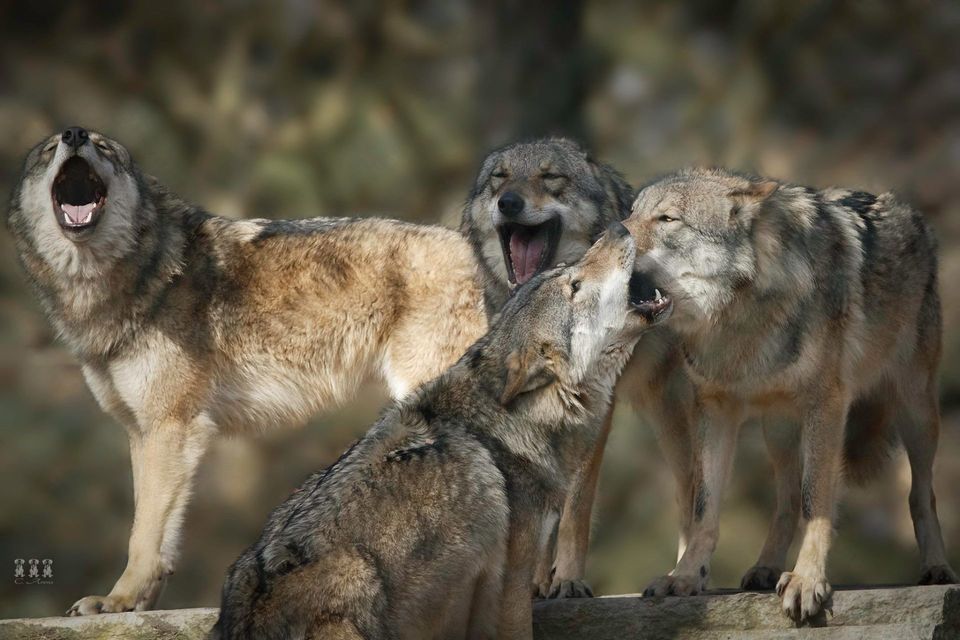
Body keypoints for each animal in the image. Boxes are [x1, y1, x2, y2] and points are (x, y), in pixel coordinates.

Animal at [6, 127, 488, 615]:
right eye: (49, 150)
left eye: (104, 147)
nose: (75, 134)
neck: (142, 274)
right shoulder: (143, 431)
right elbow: (156, 535)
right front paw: (137, 602)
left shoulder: (172, 426)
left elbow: (143, 534)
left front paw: (118, 600)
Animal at [211, 224, 672, 640]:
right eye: (574, 285)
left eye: (570, 270)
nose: (618, 227)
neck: (522, 421)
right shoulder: (512, 580)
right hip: (357, 578)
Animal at [626, 167, 958, 622]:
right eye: (629, 213)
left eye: (667, 219)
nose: (605, 238)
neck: (741, 318)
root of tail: (914, 215)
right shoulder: (715, 408)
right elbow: (705, 506)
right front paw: (686, 576)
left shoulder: (827, 403)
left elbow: (815, 500)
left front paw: (806, 581)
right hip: (779, 429)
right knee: (784, 500)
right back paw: (765, 568)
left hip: (916, 413)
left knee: (921, 493)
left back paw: (936, 568)